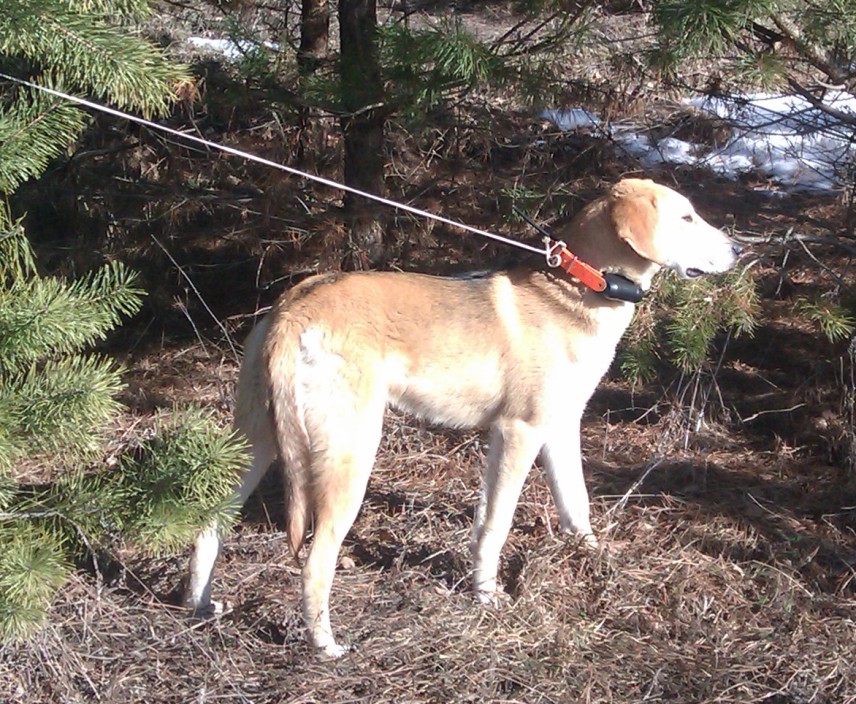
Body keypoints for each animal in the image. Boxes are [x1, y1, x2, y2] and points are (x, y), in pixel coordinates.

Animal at [182, 179, 744, 656]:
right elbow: (496, 525)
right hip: (350, 458)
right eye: (687, 217)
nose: (739, 251)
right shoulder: (519, 434)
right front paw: (488, 597)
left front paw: (593, 561)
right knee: (315, 563)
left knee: (209, 524)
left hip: (255, 443)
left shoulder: (559, 430)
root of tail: (293, 309)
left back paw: (199, 605)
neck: (582, 287)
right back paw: (326, 646)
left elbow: (575, 505)